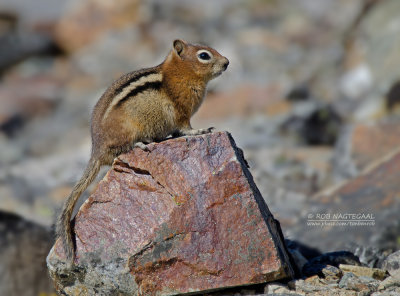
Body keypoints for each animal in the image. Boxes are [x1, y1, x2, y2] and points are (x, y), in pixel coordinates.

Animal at [57, 39, 230, 264]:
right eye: (204, 55)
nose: (227, 62)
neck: (180, 72)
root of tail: (96, 150)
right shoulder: (181, 111)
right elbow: (185, 128)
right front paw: (199, 130)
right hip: (128, 131)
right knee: (118, 153)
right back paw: (141, 144)